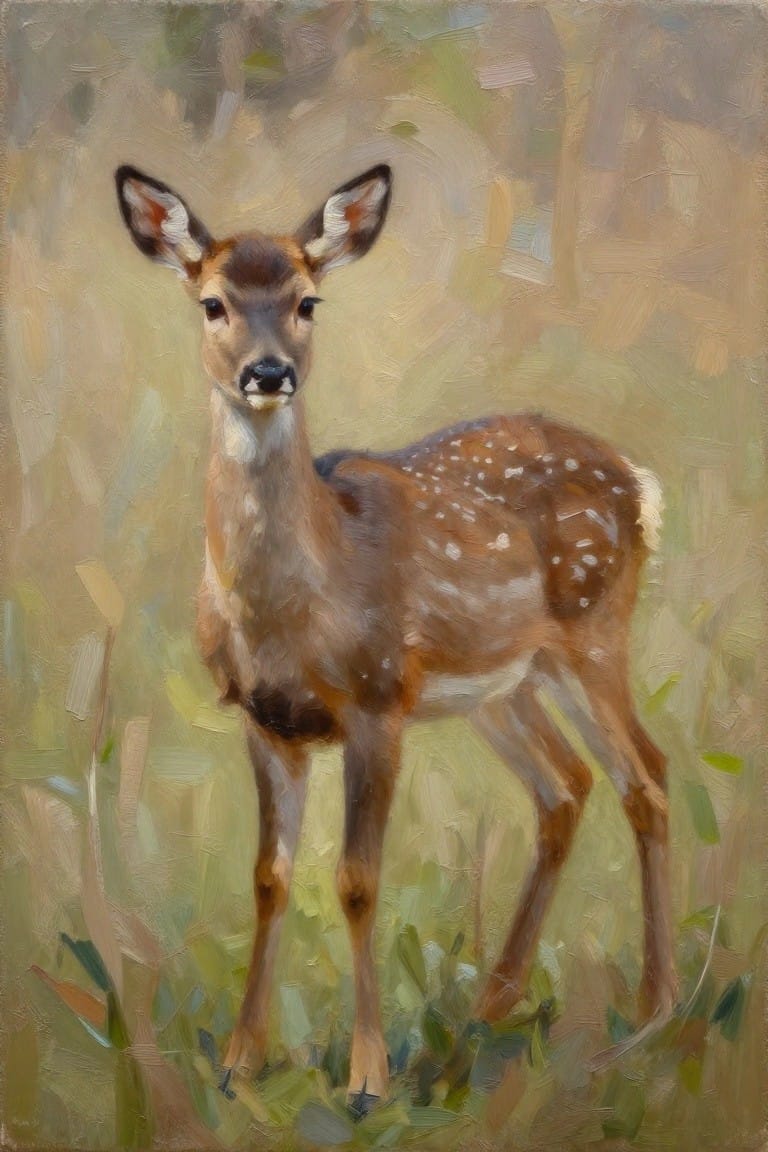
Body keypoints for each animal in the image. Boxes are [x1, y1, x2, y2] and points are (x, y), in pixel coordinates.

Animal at [115, 161, 677, 1104]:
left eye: (308, 300)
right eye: (212, 302)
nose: (268, 373)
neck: (294, 610)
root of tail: (638, 483)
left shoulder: (378, 701)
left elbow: (356, 882)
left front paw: (368, 1075)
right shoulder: (264, 720)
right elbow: (267, 878)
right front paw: (240, 1062)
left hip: (594, 630)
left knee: (647, 775)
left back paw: (656, 1007)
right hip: (506, 684)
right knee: (565, 788)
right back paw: (494, 1001)